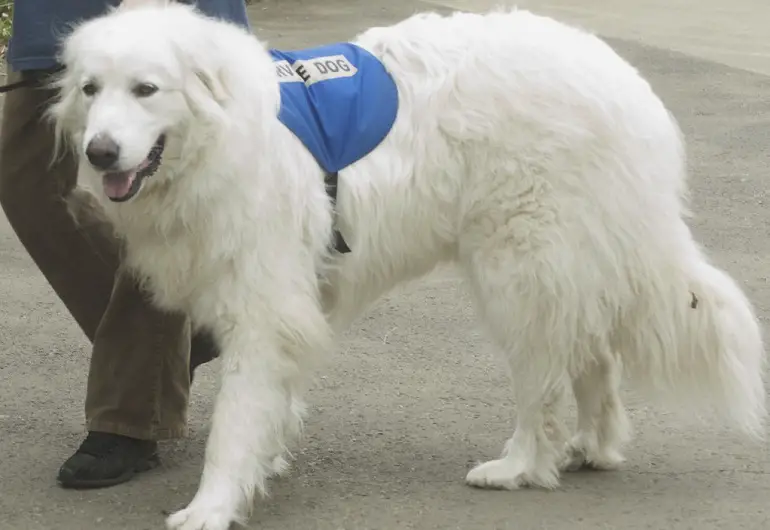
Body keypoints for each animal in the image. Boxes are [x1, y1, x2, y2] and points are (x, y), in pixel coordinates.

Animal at [51, 1, 764, 528]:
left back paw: (522, 466)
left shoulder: (264, 308)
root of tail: (623, 81)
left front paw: (212, 506)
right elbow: (272, 404)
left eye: (146, 89)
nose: (100, 152)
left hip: (517, 268)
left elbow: (233, 420)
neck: (222, 136)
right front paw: (267, 461)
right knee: (592, 353)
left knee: (545, 381)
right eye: (91, 89)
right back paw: (593, 447)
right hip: (563, 265)